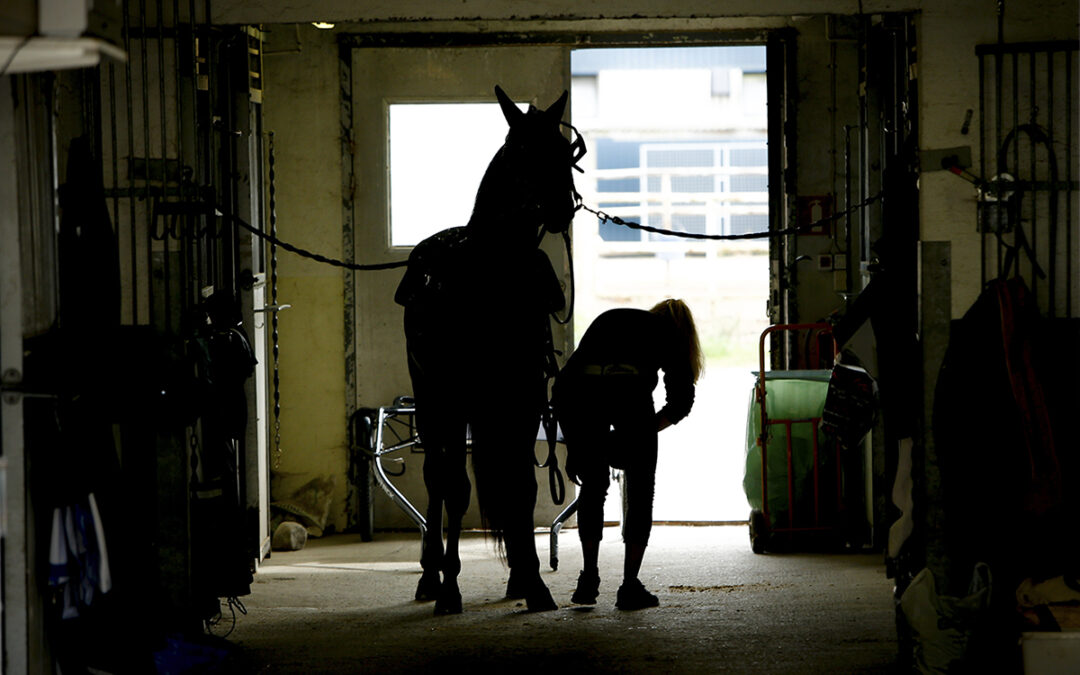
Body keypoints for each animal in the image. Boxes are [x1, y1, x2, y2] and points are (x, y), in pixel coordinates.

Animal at [395, 86, 583, 613]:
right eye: (523, 152)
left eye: (564, 151)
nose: (561, 208)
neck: (490, 282)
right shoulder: (459, 399)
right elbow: (457, 489)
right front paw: (450, 588)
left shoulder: (521, 398)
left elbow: (521, 484)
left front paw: (534, 582)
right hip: (434, 400)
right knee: (438, 478)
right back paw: (431, 576)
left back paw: (515, 575)